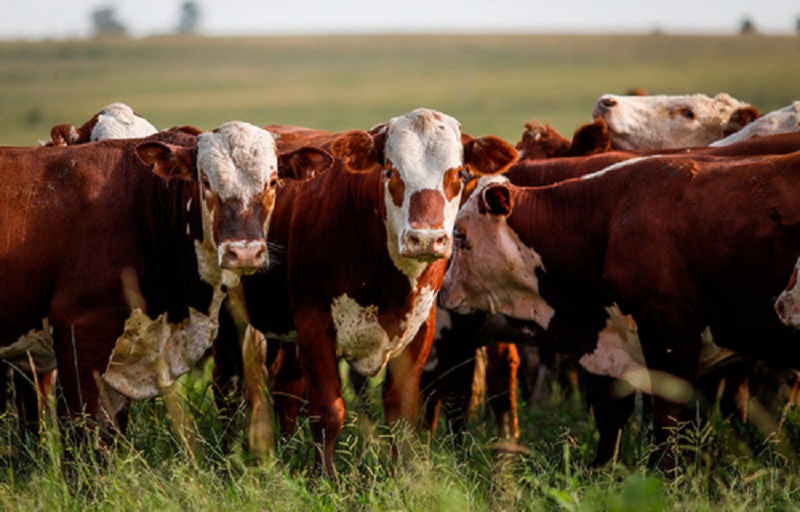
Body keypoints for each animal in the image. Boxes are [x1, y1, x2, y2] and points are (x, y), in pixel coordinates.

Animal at [209, 108, 520, 476]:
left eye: (459, 173)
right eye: (390, 171)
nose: (425, 239)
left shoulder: (419, 330)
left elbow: (401, 413)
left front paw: (405, 476)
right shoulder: (316, 325)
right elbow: (328, 411)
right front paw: (323, 478)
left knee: (287, 385)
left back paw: (285, 447)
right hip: (229, 318)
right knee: (226, 385)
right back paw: (228, 450)